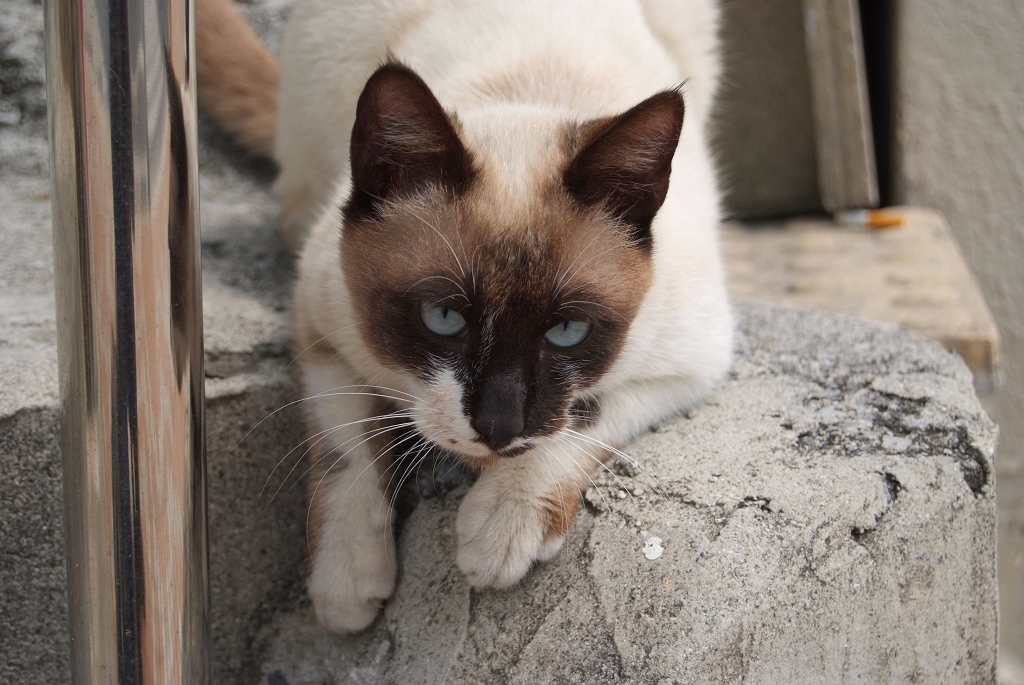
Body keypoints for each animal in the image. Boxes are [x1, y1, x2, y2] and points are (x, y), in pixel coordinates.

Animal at [197, 0, 733, 634]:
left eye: (567, 331)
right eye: (443, 317)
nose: (498, 424)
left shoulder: (694, 362)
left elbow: (582, 416)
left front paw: (500, 533)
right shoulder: (319, 318)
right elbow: (347, 450)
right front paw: (345, 586)